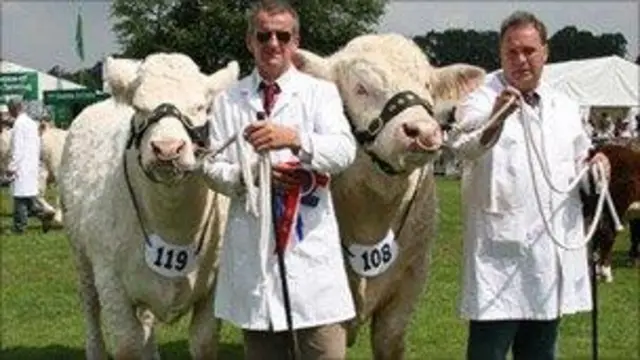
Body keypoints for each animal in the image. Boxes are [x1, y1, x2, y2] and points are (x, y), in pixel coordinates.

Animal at [57, 53, 236, 360]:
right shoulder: (111, 281)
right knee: (90, 304)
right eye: (140, 108)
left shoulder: (215, 283)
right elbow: (127, 343)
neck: (173, 223)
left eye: (201, 106)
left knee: (147, 321)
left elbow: (203, 341)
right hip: (81, 253)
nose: (167, 149)